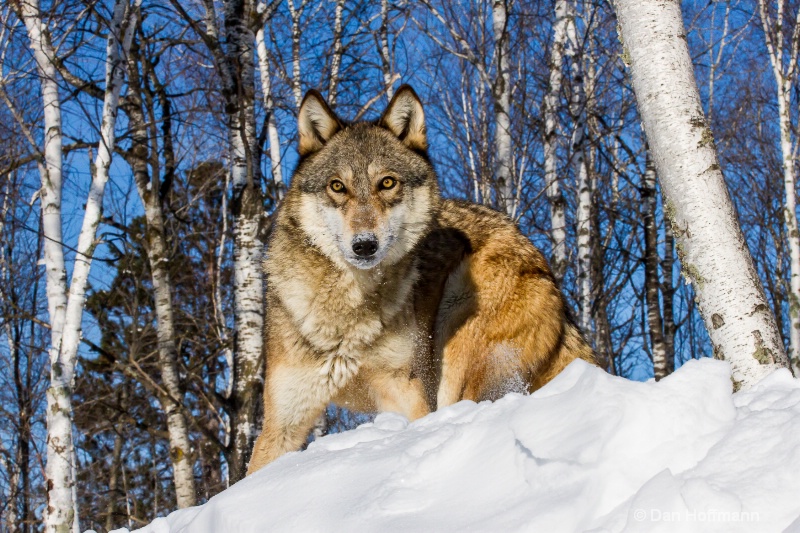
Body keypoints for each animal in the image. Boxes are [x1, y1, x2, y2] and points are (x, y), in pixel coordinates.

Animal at [247, 84, 596, 474]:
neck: (350, 310)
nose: (364, 245)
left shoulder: (409, 393)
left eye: (387, 183)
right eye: (337, 186)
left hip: (456, 338)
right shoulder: (282, 425)